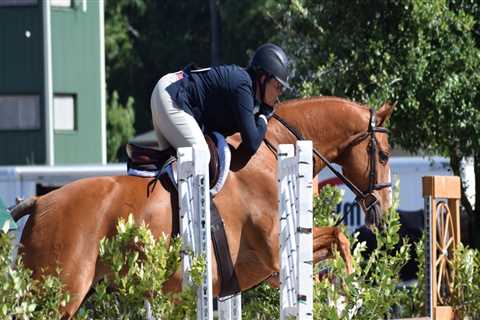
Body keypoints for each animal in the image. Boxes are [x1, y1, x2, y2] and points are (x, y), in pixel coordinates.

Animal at [12, 95, 394, 318]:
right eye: (385, 156)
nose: (384, 211)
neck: (273, 151)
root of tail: (41, 202)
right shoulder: (274, 252)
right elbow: (340, 239)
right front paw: (352, 293)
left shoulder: (269, 272)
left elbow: (328, 257)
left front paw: (342, 293)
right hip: (58, 292)